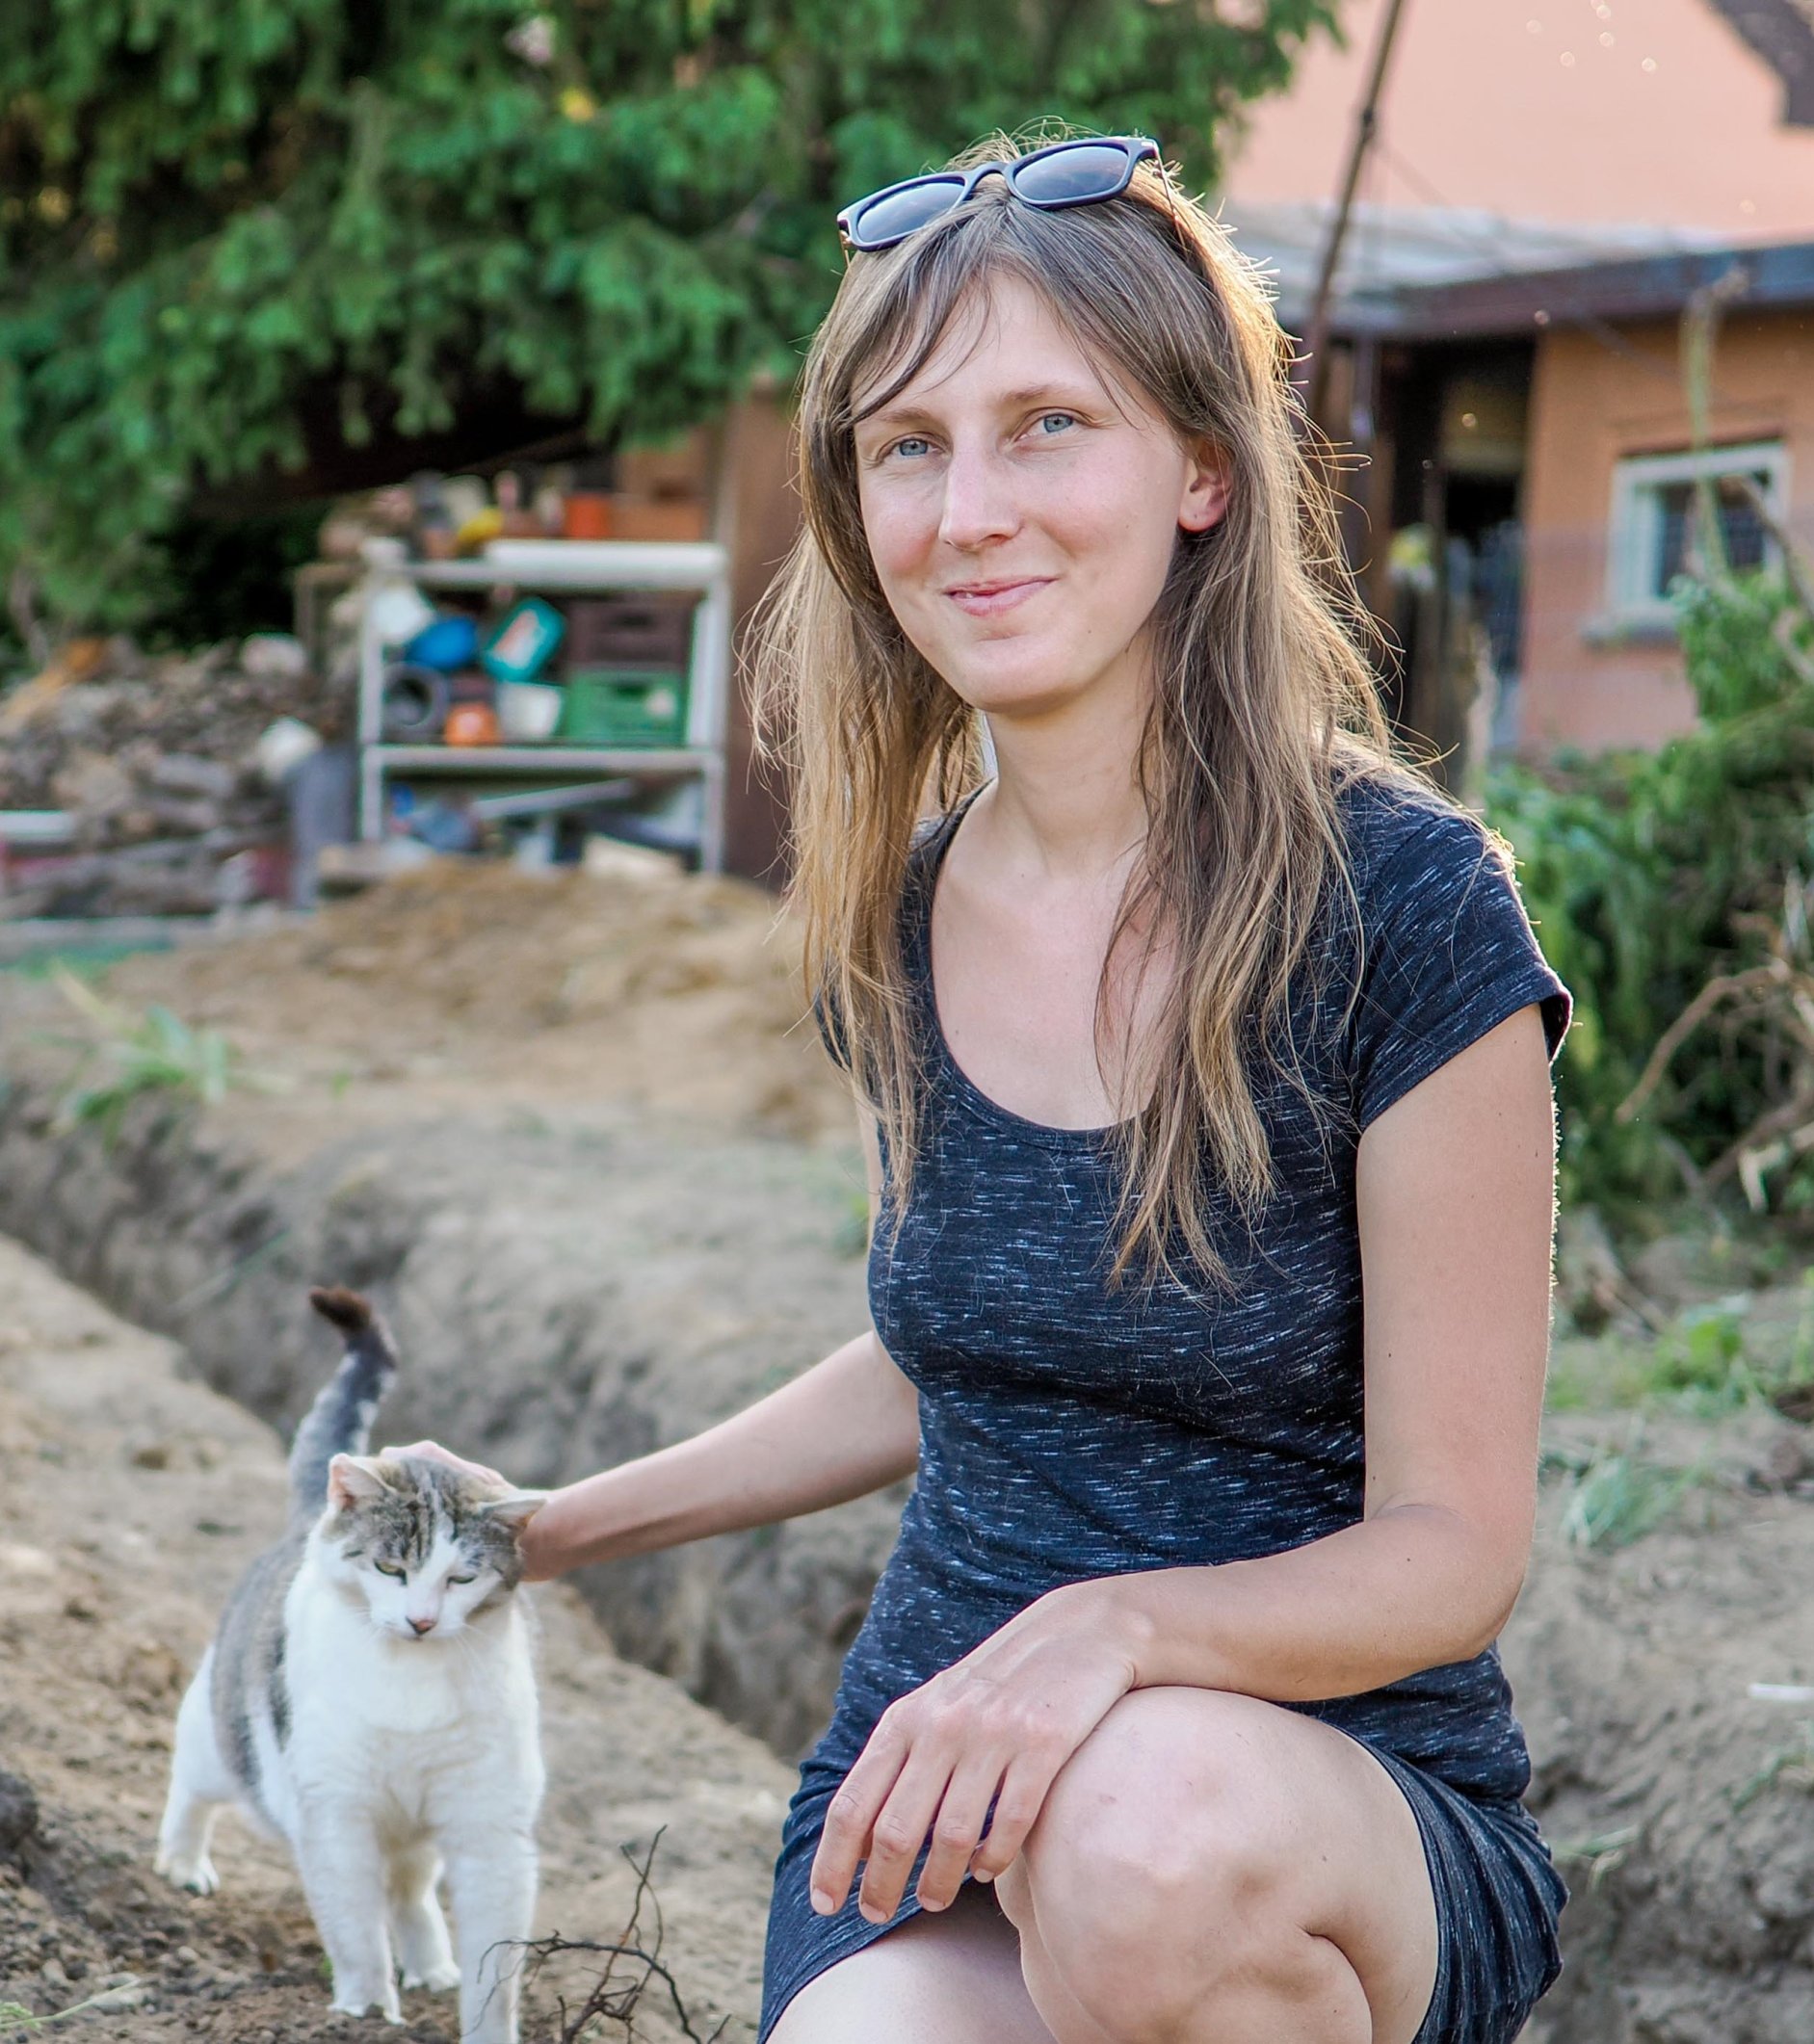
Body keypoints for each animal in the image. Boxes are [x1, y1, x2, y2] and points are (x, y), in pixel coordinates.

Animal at [156, 1285, 547, 2043]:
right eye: (392, 1568)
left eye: (461, 1578)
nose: (420, 1621)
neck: (412, 1683)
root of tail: (312, 1517)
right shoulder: (336, 1813)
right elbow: (357, 1935)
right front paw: (365, 2013)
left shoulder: (489, 1827)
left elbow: (494, 1970)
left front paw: (478, 2021)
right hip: (222, 1741)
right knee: (191, 1785)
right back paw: (183, 1864)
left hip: (419, 1833)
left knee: (411, 1893)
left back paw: (431, 1964)